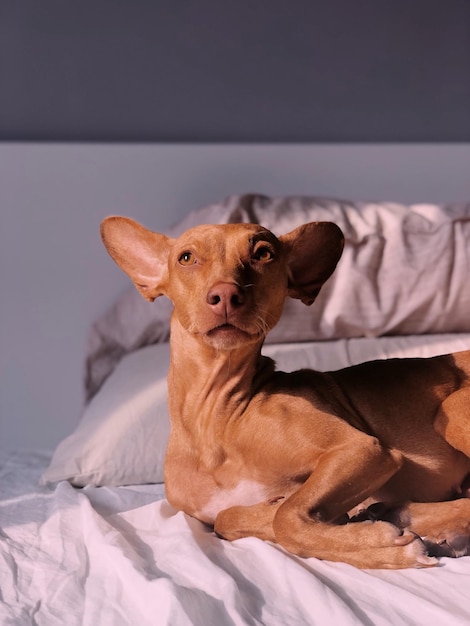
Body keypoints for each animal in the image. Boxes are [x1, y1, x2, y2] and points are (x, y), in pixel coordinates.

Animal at [101, 217, 470, 568]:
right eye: (187, 258)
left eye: (263, 254)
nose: (225, 295)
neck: (214, 416)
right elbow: (227, 519)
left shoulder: (361, 450)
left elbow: (286, 517)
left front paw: (374, 545)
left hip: (451, 411)